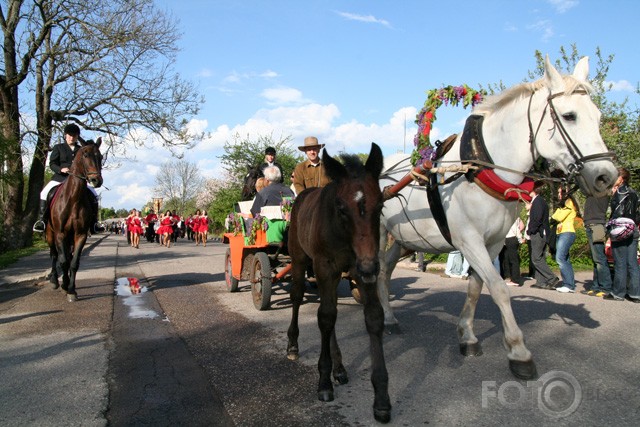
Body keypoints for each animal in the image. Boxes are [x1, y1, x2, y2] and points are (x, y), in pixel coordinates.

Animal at [45, 139, 102, 302]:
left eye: (101, 157)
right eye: (85, 155)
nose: (96, 180)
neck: (74, 198)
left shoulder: (80, 234)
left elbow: (74, 262)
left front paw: (71, 289)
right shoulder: (60, 234)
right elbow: (63, 261)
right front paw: (64, 285)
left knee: (67, 257)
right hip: (50, 234)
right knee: (54, 255)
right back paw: (54, 280)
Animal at [288, 142, 392, 422]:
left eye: (380, 206)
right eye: (342, 208)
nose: (369, 267)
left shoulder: (359, 270)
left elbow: (373, 318)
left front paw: (381, 399)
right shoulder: (324, 267)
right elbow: (325, 317)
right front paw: (324, 382)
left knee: (331, 308)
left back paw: (340, 368)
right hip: (300, 260)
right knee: (298, 297)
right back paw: (293, 344)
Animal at [378, 55, 616, 380]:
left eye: (598, 116)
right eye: (569, 116)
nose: (606, 177)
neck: (479, 168)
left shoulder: (492, 242)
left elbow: (477, 286)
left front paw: (467, 336)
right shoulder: (468, 240)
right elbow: (500, 288)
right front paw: (518, 351)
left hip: (404, 239)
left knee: (386, 270)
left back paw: (389, 316)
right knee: (374, 271)